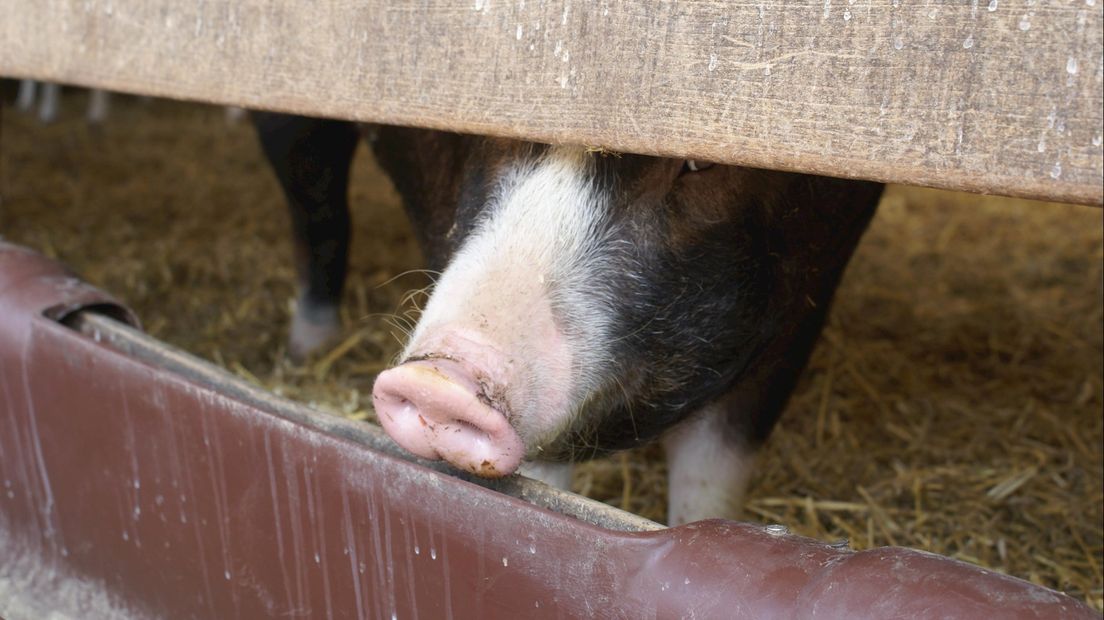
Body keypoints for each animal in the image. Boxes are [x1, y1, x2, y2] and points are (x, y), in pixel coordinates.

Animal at [253, 111, 883, 525]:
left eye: (700, 161)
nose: (439, 381)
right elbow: (542, 483)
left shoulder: (806, 300)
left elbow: (710, 482)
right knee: (317, 213)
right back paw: (305, 351)